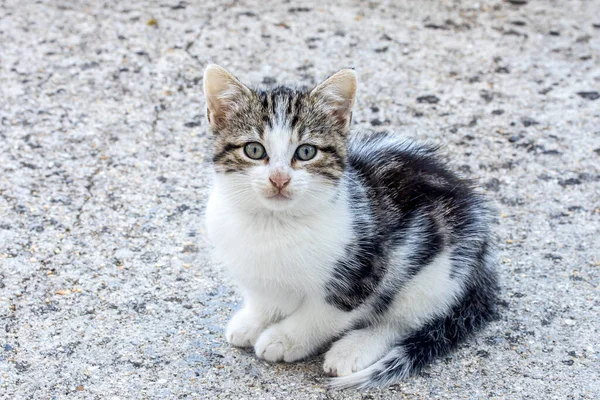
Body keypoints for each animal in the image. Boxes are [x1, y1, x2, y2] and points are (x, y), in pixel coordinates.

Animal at [204, 65, 500, 388]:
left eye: (306, 152)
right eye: (254, 150)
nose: (279, 179)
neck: (274, 224)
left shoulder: (365, 269)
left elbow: (322, 315)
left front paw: (284, 339)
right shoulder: (255, 270)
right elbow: (264, 298)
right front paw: (253, 321)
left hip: (436, 273)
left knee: (401, 321)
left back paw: (354, 349)